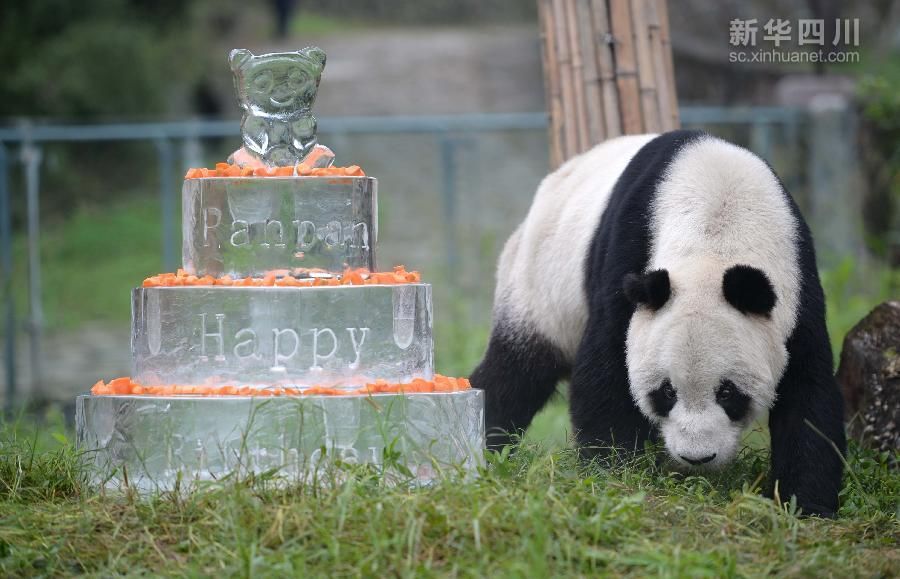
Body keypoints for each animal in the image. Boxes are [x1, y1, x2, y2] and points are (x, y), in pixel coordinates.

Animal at [474, 130, 848, 516]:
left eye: (728, 392)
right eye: (667, 391)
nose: (697, 457)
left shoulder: (797, 288)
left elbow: (809, 392)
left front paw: (806, 505)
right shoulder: (629, 255)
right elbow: (606, 369)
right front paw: (614, 475)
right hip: (540, 282)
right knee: (516, 371)